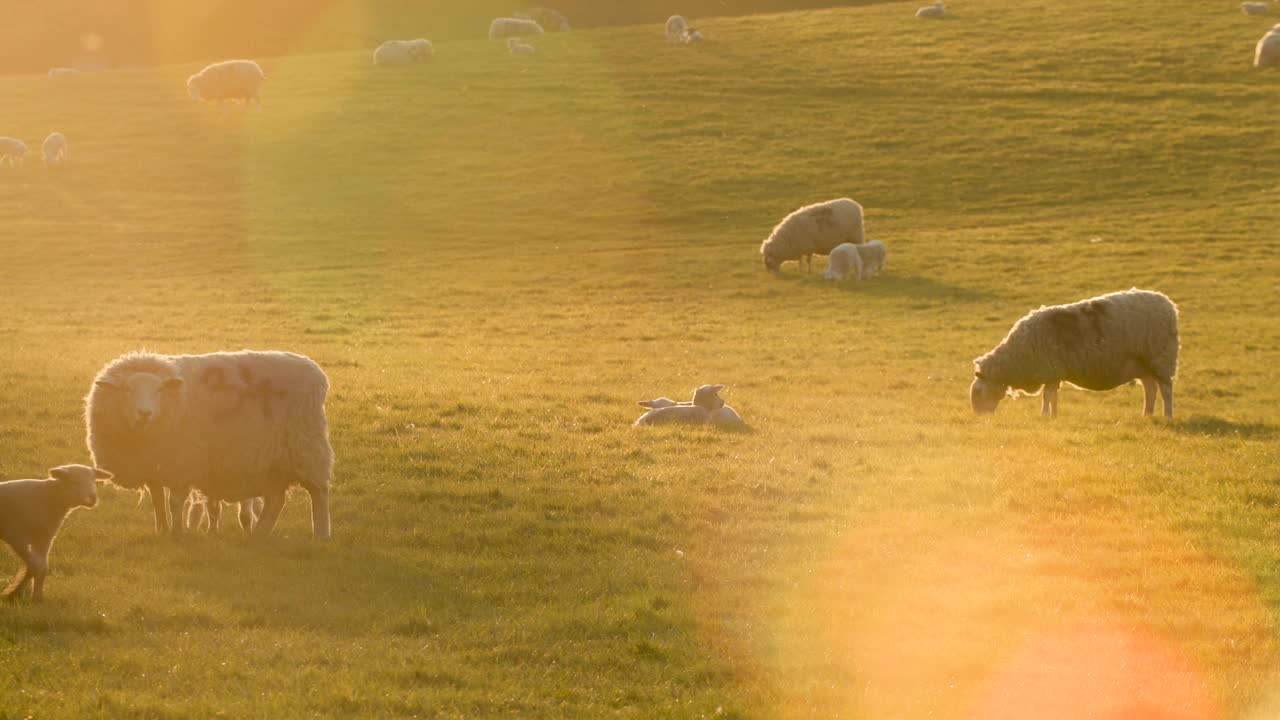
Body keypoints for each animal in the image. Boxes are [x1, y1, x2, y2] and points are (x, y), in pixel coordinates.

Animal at [0, 461, 111, 597]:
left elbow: (41, 567)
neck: (49, 497)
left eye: (94, 481)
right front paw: (13, 591)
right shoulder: (15, 535)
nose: (92, 498)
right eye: (74, 482)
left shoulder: (44, 538)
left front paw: (36, 596)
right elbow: (35, 565)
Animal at [85, 348, 335, 538]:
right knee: (276, 500)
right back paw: (259, 535)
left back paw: (321, 535)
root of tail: (316, 371)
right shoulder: (154, 467)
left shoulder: (182, 462)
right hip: (270, 463)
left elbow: (175, 502)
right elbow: (158, 501)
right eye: (127, 390)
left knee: (318, 493)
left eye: (159, 390)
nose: (144, 413)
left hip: (307, 447)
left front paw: (177, 532)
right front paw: (162, 530)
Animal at [967, 288, 1177, 417]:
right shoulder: (1054, 373)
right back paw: (1146, 415)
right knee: (1150, 388)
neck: (1015, 359)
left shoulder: (1050, 369)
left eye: (977, 392)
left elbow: (1047, 396)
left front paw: (1044, 415)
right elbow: (1053, 396)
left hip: (1161, 359)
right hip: (1143, 364)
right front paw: (1054, 416)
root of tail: (1167, 302)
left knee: (1166, 390)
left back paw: (1168, 416)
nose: (980, 417)